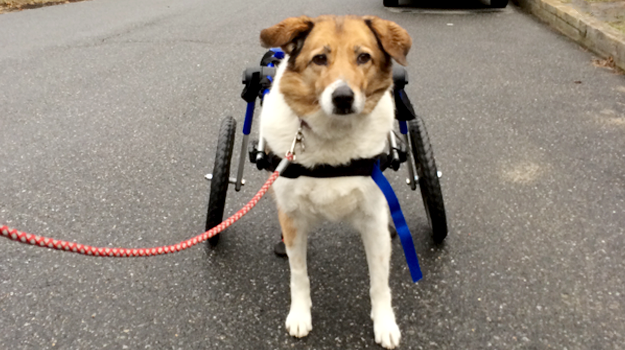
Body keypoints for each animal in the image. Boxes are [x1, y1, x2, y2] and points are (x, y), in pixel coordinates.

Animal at [258, 15, 410, 348]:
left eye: (364, 57)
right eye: (319, 59)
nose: (342, 98)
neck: (333, 136)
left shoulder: (373, 218)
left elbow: (380, 281)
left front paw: (384, 321)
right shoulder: (292, 218)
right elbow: (298, 274)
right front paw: (300, 314)